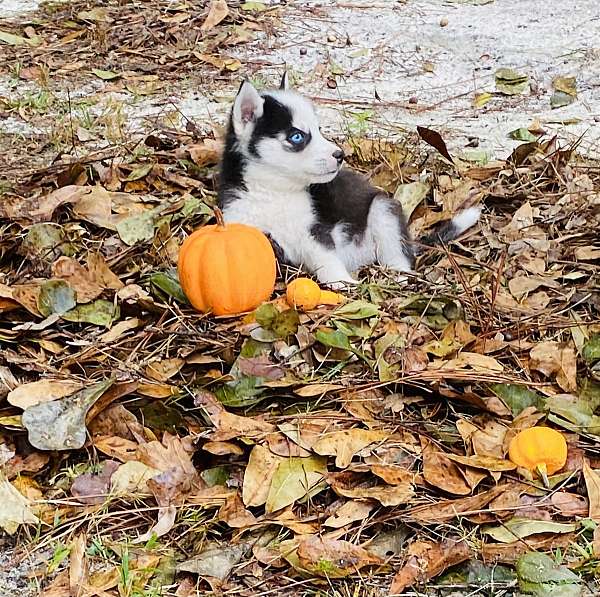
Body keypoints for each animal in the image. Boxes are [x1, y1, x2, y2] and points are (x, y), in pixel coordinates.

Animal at [216, 74, 478, 286]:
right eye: (297, 136)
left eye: (319, 129)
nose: (340, 154)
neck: (274, 192)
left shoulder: (316, 232)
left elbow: (326, 258)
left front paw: (343, 283)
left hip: (383, 210)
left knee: (398, 256)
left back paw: (397, 276)